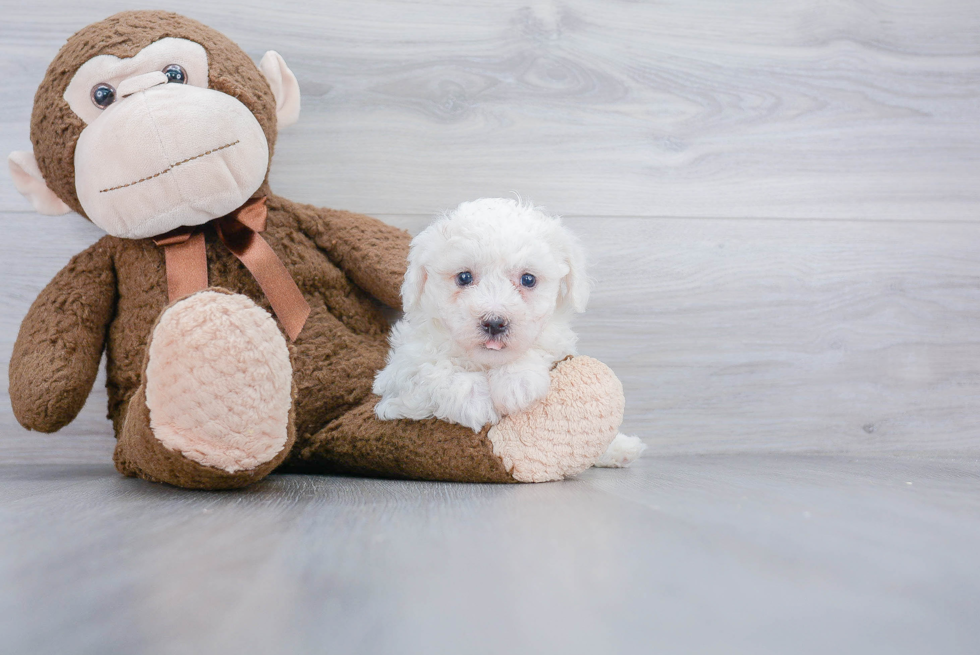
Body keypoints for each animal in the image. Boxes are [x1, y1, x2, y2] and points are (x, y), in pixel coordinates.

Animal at [374, 199, 644, 466]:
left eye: (528, 279)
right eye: (464, 277)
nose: (494, 323)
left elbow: (536, 350)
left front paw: (516, 381)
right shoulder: (398, 379)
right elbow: (431, 370)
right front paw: (477, 399)